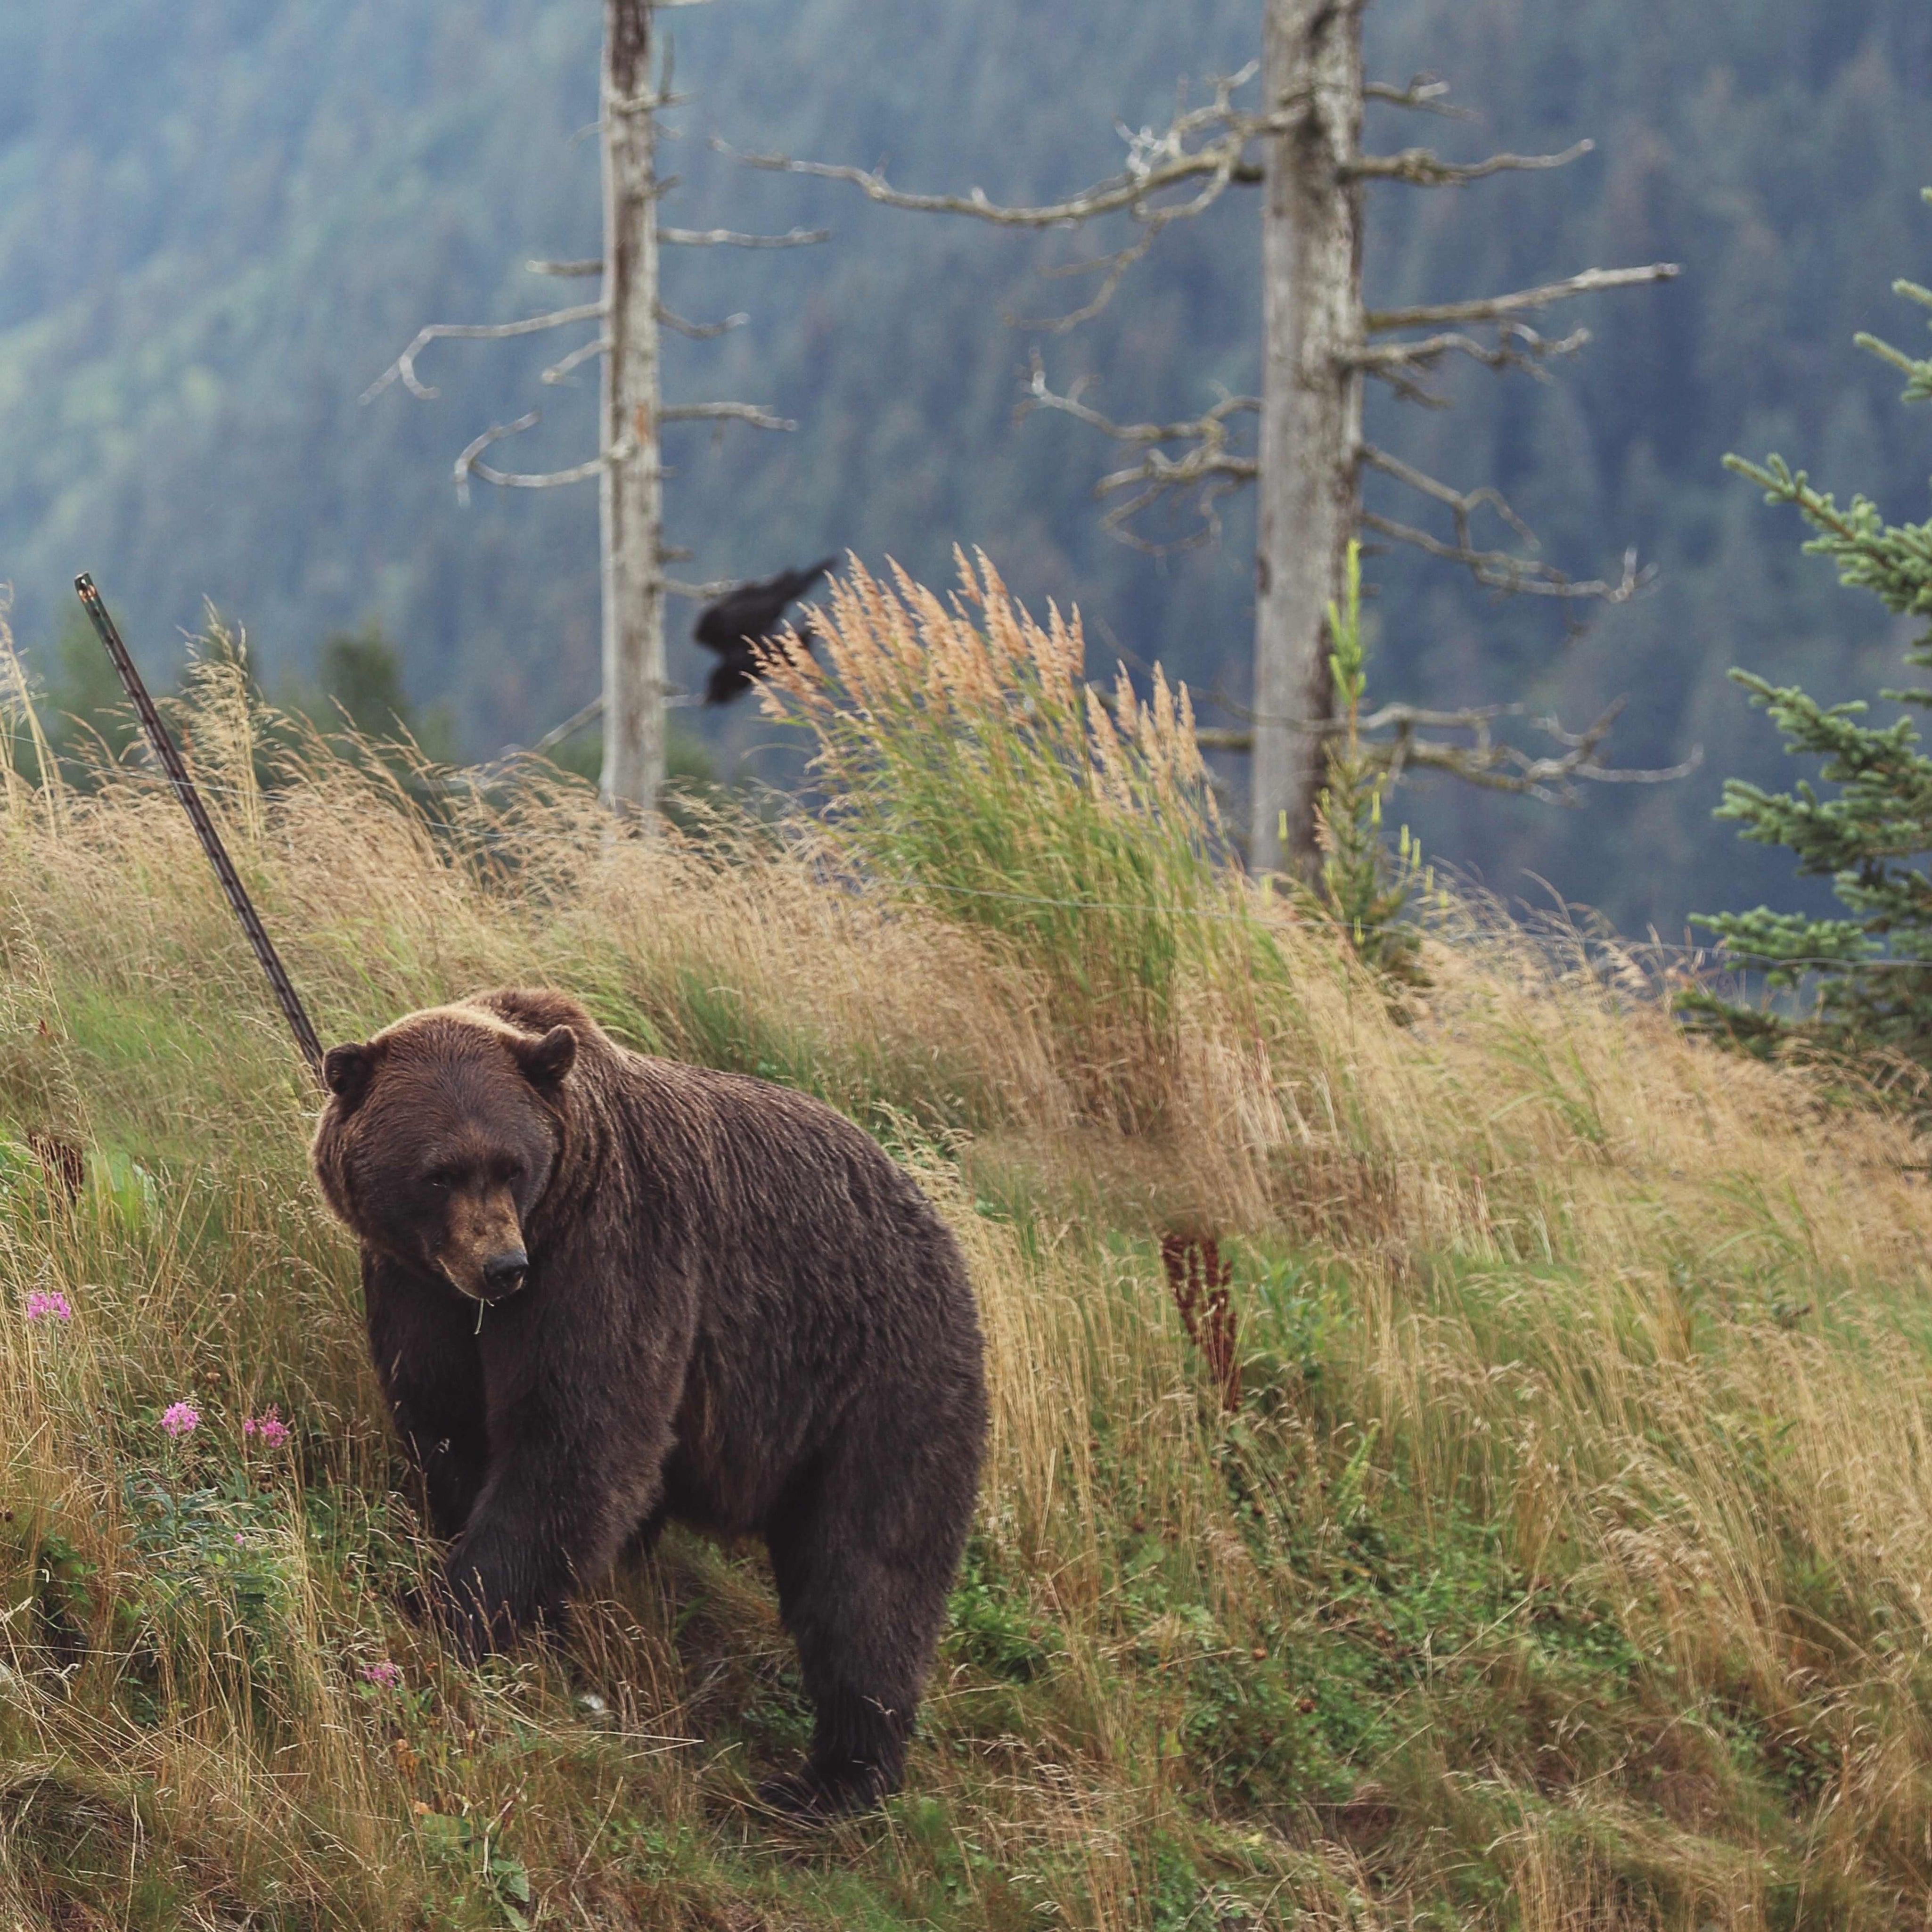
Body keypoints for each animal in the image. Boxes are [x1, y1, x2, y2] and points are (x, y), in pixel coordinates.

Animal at [315, 989, 989, 1816]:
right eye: (439, 1173)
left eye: (511, 1165)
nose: (503, 1265)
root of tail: (945, 1230)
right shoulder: (417, 1289)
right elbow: (448, 1424)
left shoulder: (607, 1257)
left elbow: (577, 1439)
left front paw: (449, 1610)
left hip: (881, 1381)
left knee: (867, 1571)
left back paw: (834, 1778)